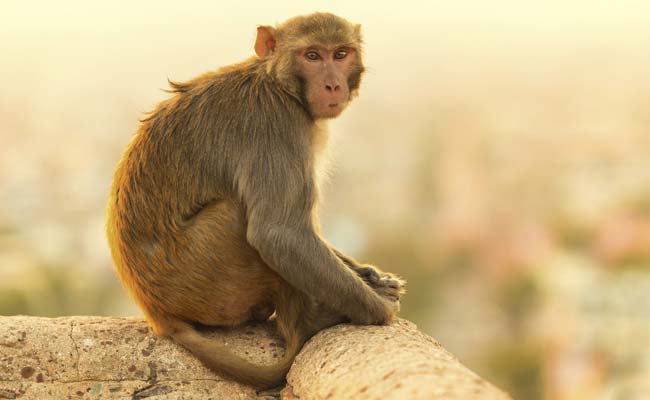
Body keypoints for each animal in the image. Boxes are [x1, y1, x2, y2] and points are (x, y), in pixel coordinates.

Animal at [106, 12, 405, 389]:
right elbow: (279, 234)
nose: (333, 85)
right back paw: (308, 322)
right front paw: (380, 310)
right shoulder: (276, 127)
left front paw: (370, 275)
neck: (279, 85)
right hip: (208, 279)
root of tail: (159, 316)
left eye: (340, 54)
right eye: (312, 56)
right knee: (240, 217)